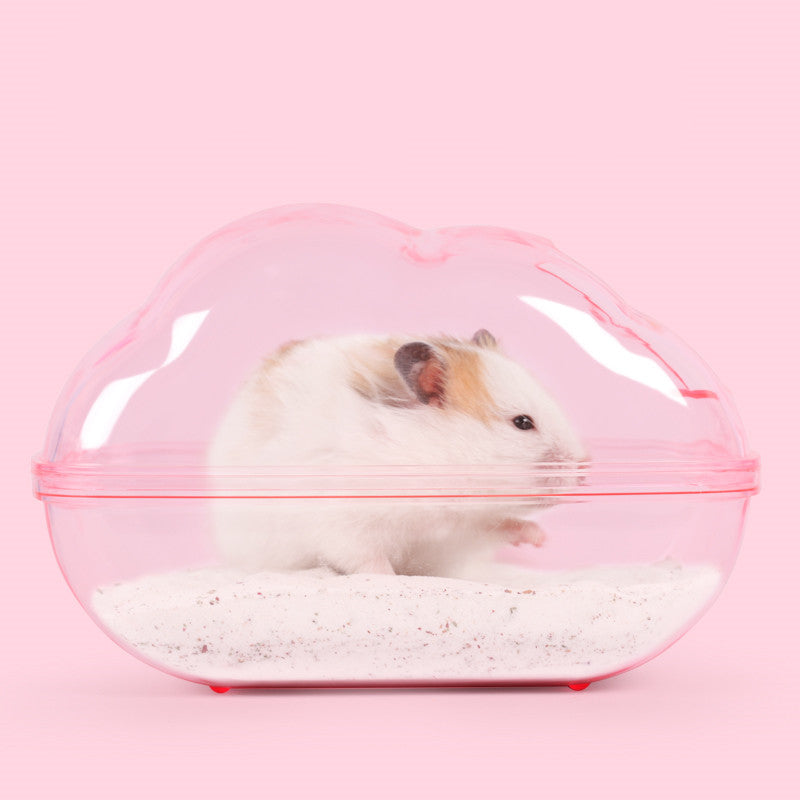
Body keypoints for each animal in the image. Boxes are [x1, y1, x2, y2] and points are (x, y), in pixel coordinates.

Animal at [208, 330, 587, 577]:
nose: (584, 472)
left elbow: (504, 524)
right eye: (523, 423)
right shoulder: (344, 520)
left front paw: (540, 540)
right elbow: (364, 559)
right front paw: (389, 580)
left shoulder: (463, 530)